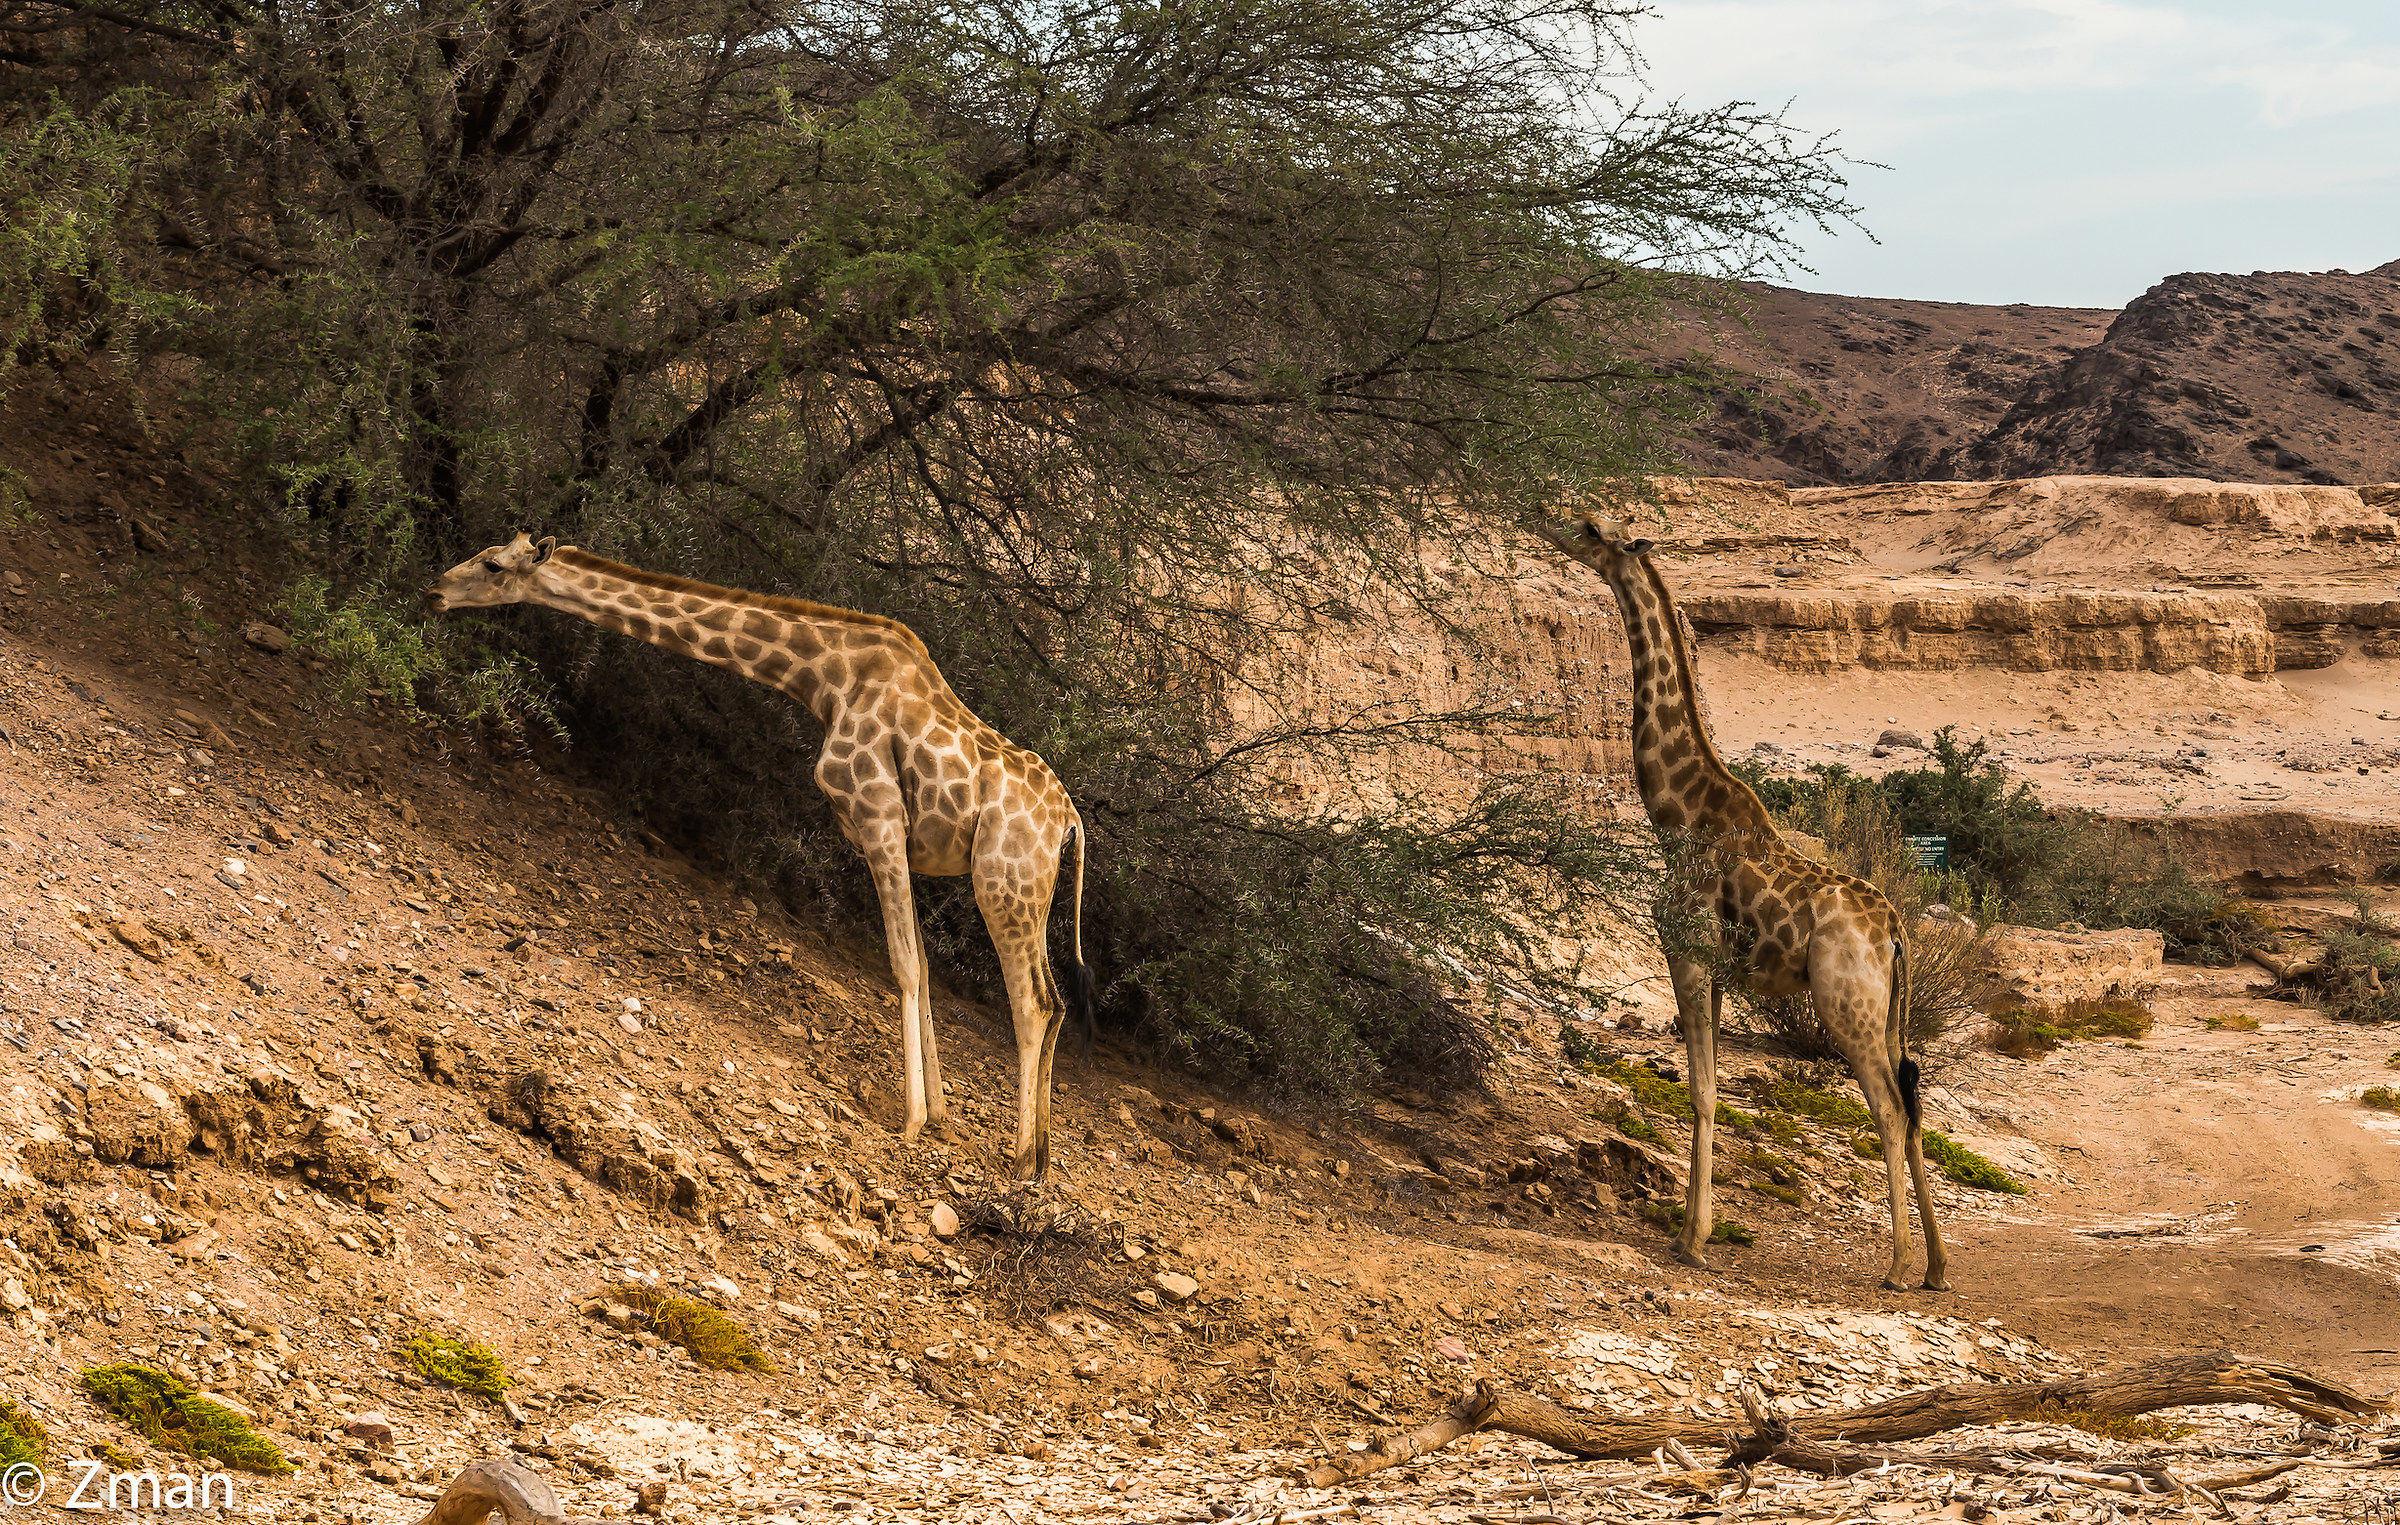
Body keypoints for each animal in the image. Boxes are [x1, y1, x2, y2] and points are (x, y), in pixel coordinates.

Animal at [425, 533, 1098, 1181]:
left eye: (492, 565)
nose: (436, 591)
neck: (824, 679)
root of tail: (1070, 823)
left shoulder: (878, 814)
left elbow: (904, 964)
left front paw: (909, 1124)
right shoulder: (899, 839)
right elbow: (926, 967)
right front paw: (936, 1116)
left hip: (1002, 882)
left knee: (1033, 1003)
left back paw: (1020, 1162)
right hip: (1025, 890)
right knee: (1057, 1002)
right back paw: (1041, 1162)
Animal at [1549, 511, 1948, 1291]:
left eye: (1592, 527)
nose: (1549, 527)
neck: (1675, 813)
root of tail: (1893, 932)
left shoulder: (1686, 950)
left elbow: (1702, 1091)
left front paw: (1692, 1240)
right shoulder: (1719, 970)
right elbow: (1710, 1088)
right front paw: (1691, 1231)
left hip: (1847, 1007)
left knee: (1889, 1111)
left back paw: (1895, 1266)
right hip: (1889, 1014)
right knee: (1915, 1107)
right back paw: (1938, 1268)